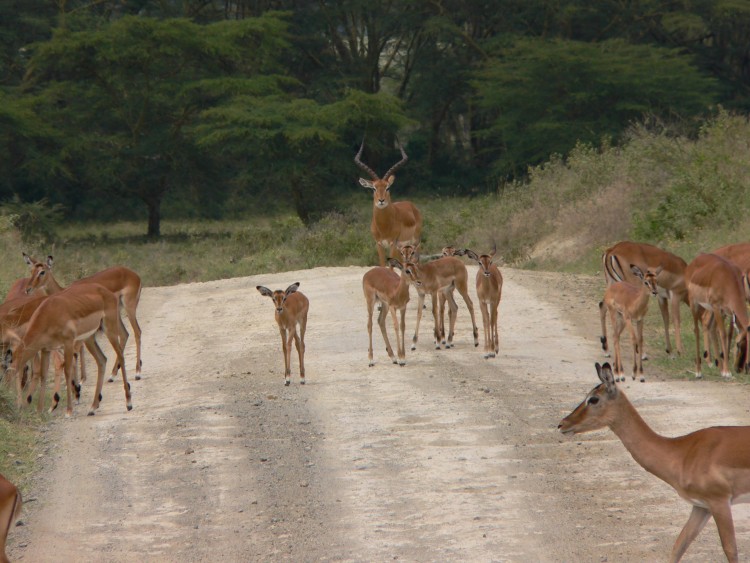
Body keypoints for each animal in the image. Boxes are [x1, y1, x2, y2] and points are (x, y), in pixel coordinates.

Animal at [6, 284, 129, 416]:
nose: (8, 395)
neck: (48, 314)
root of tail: (107, 292)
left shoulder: (68, 343)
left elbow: (67, 371)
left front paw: (69, 410)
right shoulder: (46, 349)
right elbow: (43, 375)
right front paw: (39, 411)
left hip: (109, 329)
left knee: (121, 354)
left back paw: (128, 403)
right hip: (89, 338)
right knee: (102, 360)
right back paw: (92, 407)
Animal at [354, 138, 424, 268]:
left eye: (388, 187)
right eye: (374, 188)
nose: (381, 200)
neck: (384, 226)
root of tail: (412, 206)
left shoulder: (392, 243)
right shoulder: (379, 244)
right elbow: (383, 265)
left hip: (415, 243)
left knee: (416, 262)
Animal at [560, 364, 750, 560]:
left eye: (593, 398)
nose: (562, 424)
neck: (683, 453)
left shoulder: (720, 502)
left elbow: (730, 550)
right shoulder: (701, 506)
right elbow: (678, 546)